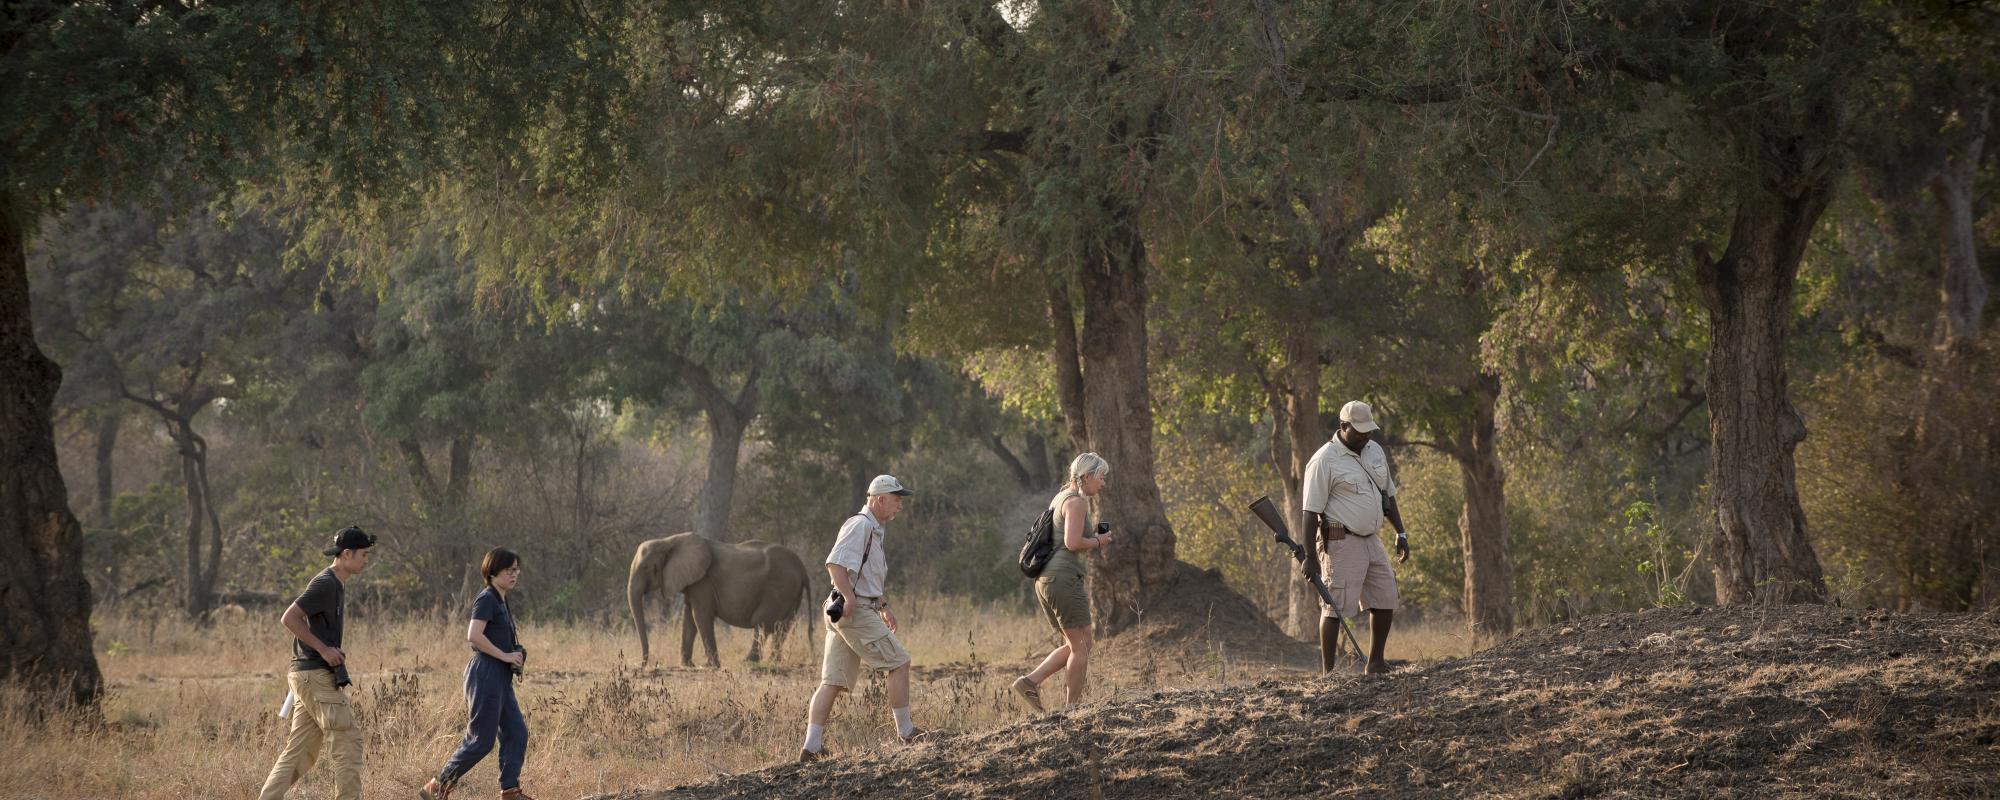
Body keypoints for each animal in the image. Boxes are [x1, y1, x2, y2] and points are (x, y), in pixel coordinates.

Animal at [624, 532, 812, 668]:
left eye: (646, 567)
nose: (641, 664)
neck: (668, 541)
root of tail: (802, 567)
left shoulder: (703, 581)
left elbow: (700, 616)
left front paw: (710, 665)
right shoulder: (693, 582)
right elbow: (689, 618)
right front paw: (687, 665)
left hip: (779, 588)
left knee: (763, 624)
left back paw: (748, 662)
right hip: (791, 593)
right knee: (783, 627)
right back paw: (774, 661)